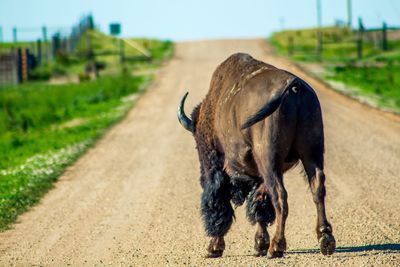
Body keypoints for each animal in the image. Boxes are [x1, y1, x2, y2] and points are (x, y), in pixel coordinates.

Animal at [177, 52, 334, 260]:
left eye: (198, 141)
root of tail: (294, 87)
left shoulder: (220, 169)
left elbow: (221, 202)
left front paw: (214, 248)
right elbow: (260, 205)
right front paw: (260, 244)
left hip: (270, 160)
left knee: (280, 197)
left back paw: (276, 247)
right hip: (312, 154)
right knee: (317, 189)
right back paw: (326, 240)